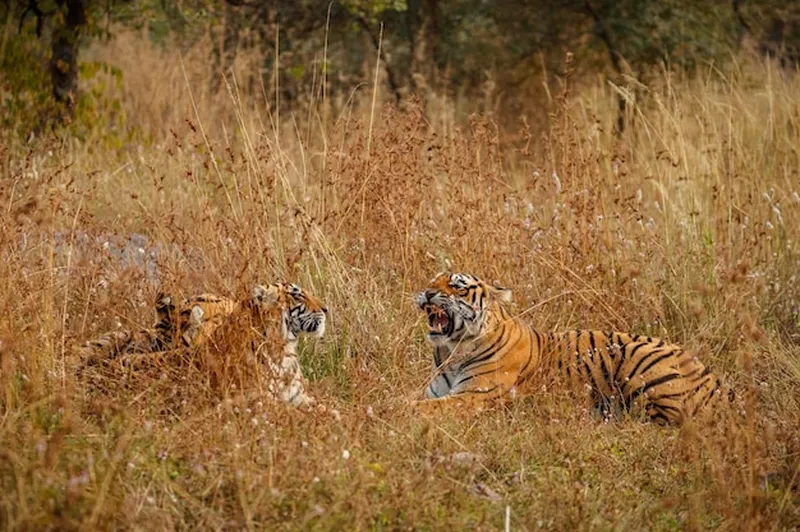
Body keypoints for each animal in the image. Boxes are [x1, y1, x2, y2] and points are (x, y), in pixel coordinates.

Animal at [78, 282, 328, 408]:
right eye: (298, 295)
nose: (326, 308)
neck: (284, 348)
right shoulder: (254, 401)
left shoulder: (301, 396)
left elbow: (328, 408)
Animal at [416, 270, 736, 424]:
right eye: (433, 280)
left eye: (457, 286)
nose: (428, 293)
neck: (451, 352)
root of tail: (717, 381)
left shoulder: (474, 396)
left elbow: (421, 408)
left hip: (642, 364)